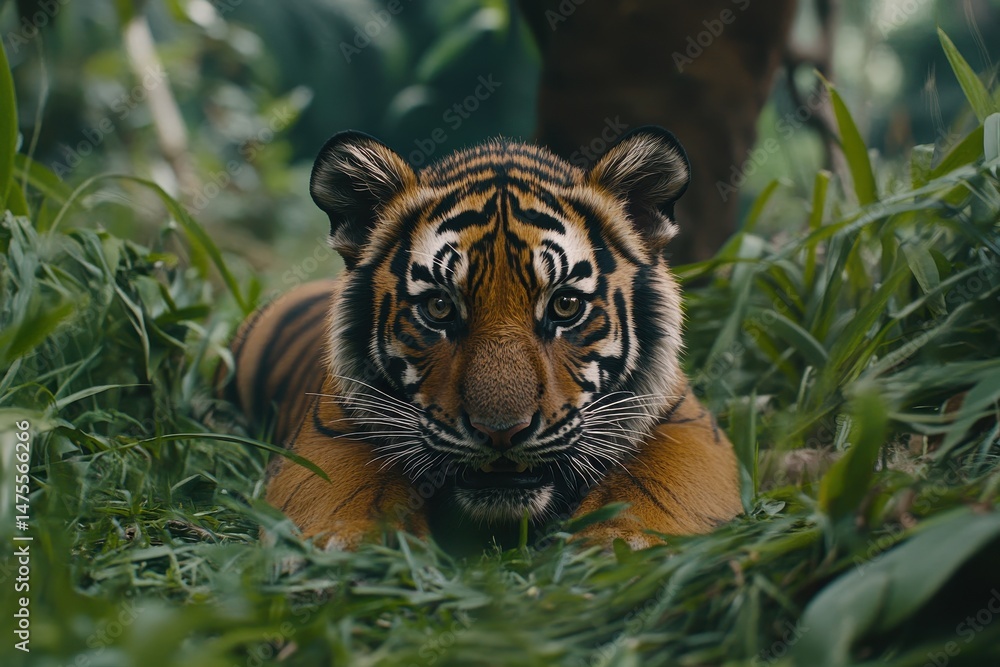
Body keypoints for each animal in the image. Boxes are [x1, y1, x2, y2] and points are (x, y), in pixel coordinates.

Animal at [221, 126, 743, 553]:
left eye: (565, 306)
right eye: (439, 307)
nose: (501, 432)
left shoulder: (683, 423)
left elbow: (652, 486)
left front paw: (619, 543)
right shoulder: (334, 431)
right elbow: (349, 492)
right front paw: (356, 547)